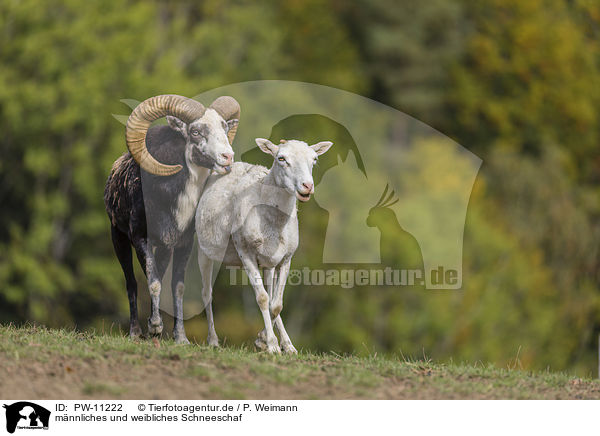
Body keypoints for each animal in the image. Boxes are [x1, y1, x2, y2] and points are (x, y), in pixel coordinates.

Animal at [195, 138, 332, 352]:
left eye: (314, 159)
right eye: (281, 158)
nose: (307, 186)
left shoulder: (285, 259)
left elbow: (276, 304)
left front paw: (264, 340)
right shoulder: (245, 252)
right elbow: (262, 298)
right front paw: (271, 345)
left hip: (268, 263)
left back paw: (288, 345)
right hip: (204, 250)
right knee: (207, 293)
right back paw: (213, 340)